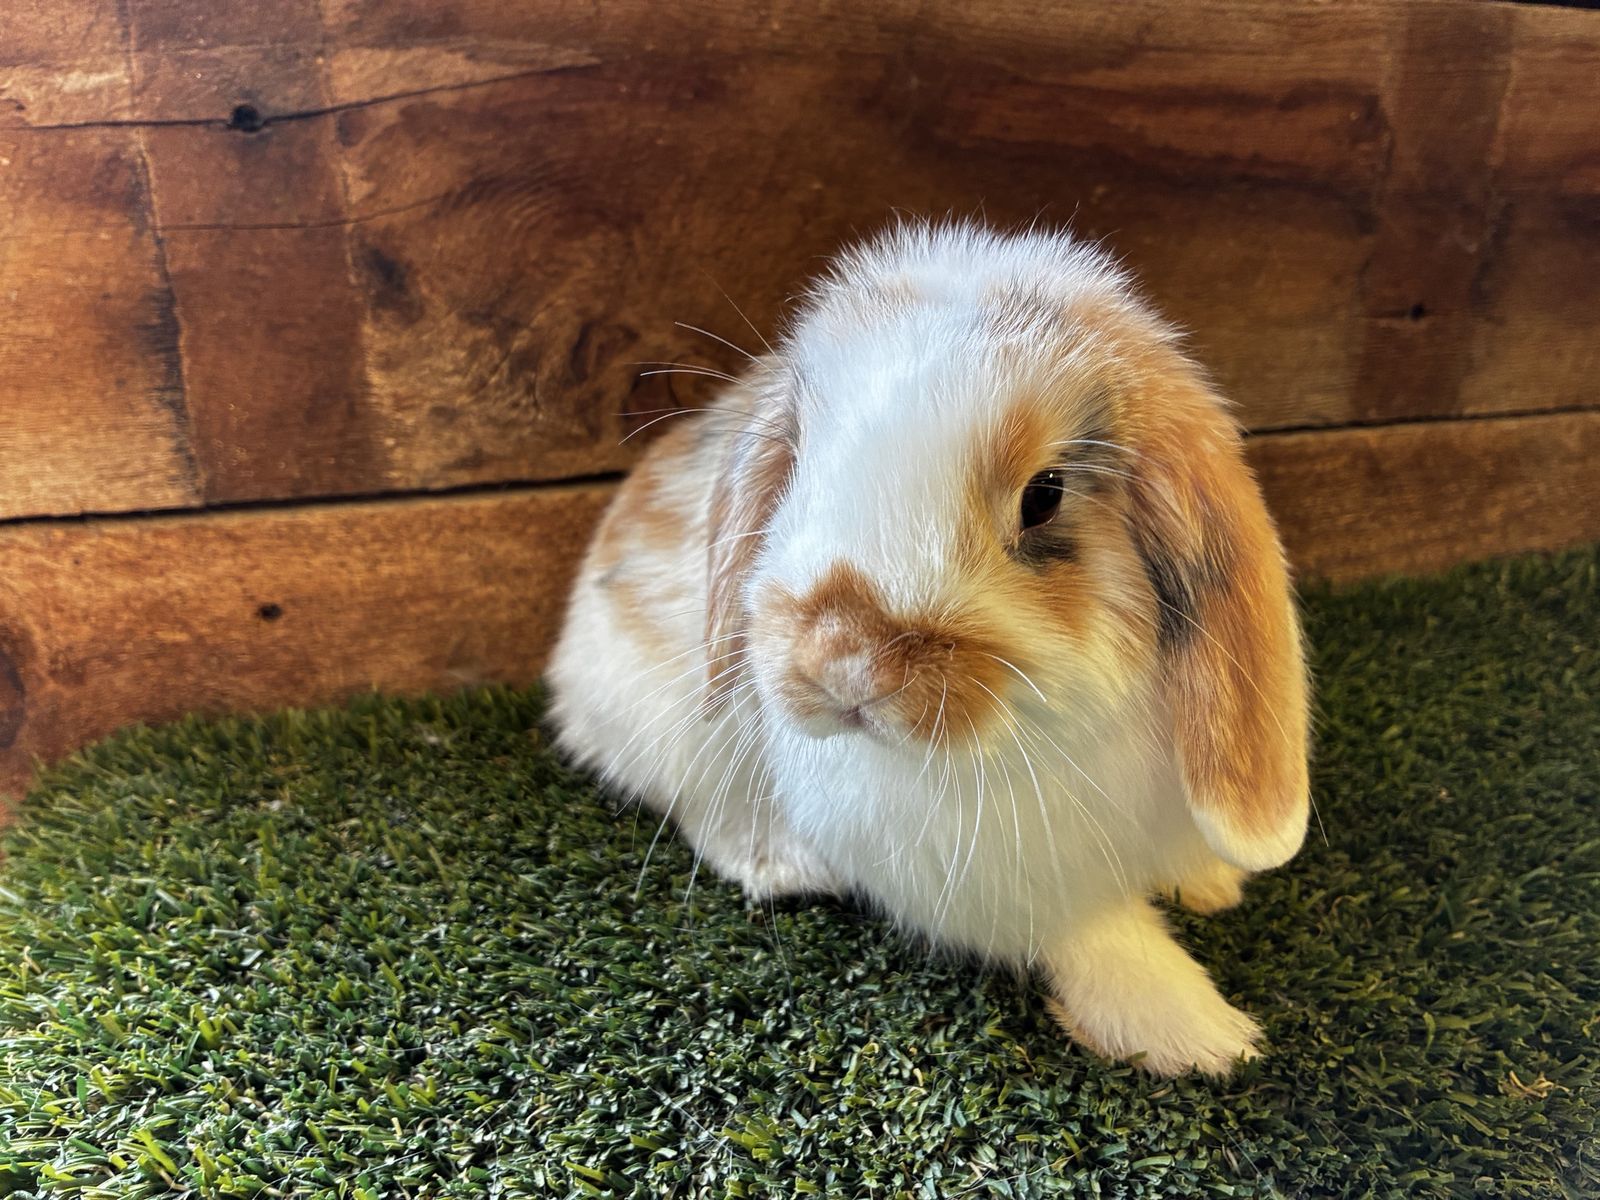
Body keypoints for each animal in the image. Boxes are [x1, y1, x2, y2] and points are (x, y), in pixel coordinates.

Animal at [546, 221, 1310, 1077]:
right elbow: (1092, 934)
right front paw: (1196, 1032)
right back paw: (786, 865)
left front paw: (1211, 884)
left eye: (1045, 495)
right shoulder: (1001, 884)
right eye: (801, 467)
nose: (846, 664)